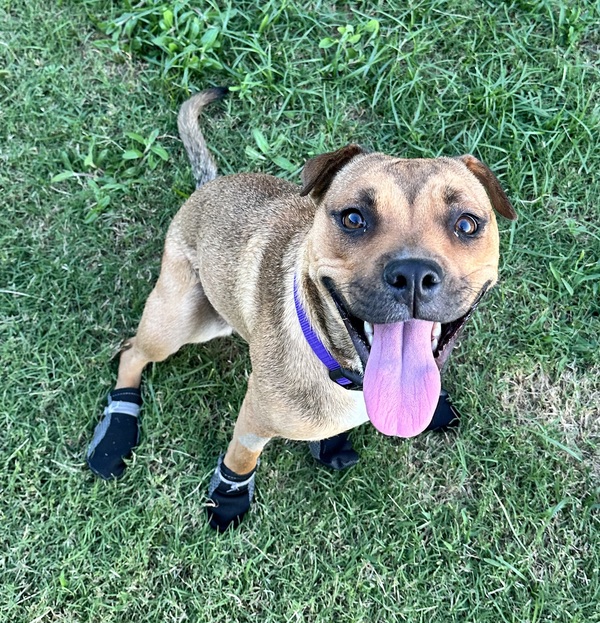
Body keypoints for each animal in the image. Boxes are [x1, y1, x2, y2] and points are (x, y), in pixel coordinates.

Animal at [87, 87, 516, 530]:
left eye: (466, 224)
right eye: (353, 218)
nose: (412, 274)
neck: (343, 369)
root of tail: (206, 187)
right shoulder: (253, 417)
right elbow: (242, 457)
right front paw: (229, 498)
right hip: (180, 322)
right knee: (131, 352)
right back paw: (117, 430)